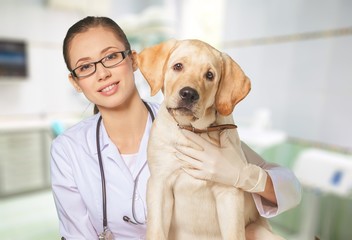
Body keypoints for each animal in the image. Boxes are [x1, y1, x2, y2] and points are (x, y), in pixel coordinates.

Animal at [138, 38, 280, 239]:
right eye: (178, 66)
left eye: (210, 75)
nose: (189, 94)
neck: (194, 130)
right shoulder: (160, 184)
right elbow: (156, 231)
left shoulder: (229, 193)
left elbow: (233, 233)